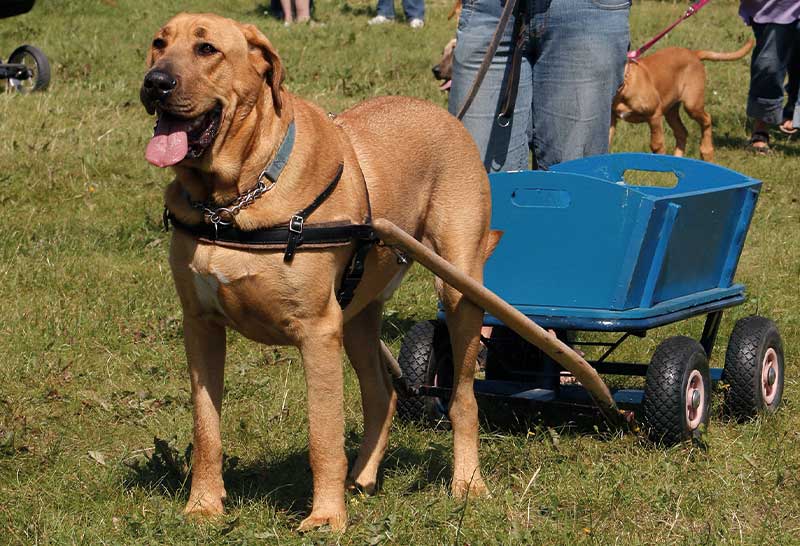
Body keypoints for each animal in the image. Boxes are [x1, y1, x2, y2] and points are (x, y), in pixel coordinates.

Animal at [141, 13, 496, 532]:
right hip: (359, 315)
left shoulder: (317, 331)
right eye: (158, 43)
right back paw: (363, 477)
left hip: (457, 289)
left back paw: (467, 483)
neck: (233, 201)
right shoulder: (200, 326)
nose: (156, 82)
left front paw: (327, 518)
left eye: (207, 49)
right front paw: (204, 505)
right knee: (382, 394)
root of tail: (446, 114)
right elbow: (206, 428)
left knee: (463, 398)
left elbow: (323, 435)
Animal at [608, 39, 752, 160]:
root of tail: (693, 54)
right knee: (682, 132)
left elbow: (656, 144)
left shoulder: (654, 115)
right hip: (671, 111)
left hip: (692, 105)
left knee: (707, 119)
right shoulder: (611, 118)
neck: (625, 84)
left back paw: (706, 151)